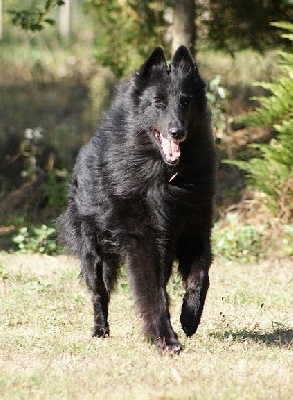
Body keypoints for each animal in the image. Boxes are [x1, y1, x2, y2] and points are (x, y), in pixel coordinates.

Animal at [57, 46, 216, 354]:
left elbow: (200, 279)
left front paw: (189, 317)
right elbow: (153, 293)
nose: (178, 132)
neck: (167, 176)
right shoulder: (144, 240)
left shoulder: (194, 230)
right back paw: (100, 330)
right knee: (99, 294)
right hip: (94, 252)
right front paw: (166, 340)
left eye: (186, 102)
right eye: (158, 102)